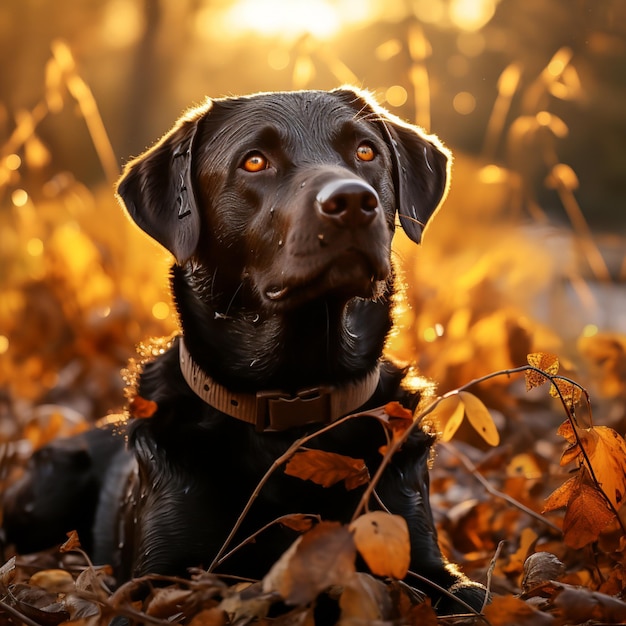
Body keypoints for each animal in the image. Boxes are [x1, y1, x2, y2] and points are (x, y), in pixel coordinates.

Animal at [2, 85, 486, 612]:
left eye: (365, 152)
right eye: (254, 162)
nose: (354, 200)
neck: (293, 396)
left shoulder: (420, 554)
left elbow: (469, 596)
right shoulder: (158, 577)